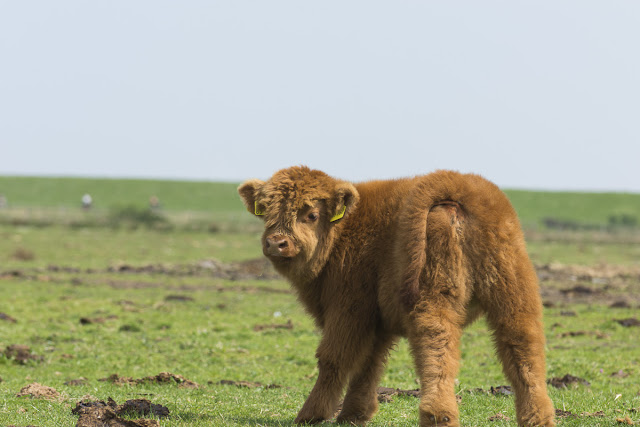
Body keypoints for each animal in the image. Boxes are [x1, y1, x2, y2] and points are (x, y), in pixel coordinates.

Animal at [238, 167, 552, 427]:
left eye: (311, 215)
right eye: (266, 212)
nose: (276, 243)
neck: (344, 230)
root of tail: (461, 184)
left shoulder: (348, 309)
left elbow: (333, 358)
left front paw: (311, 415)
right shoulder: (375, 320)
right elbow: (370, 363)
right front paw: (354, 414)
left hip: (433, 296)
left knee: (436, 346)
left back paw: (438, 415)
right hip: (513, 291)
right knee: (524, 347)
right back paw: (538, 418)